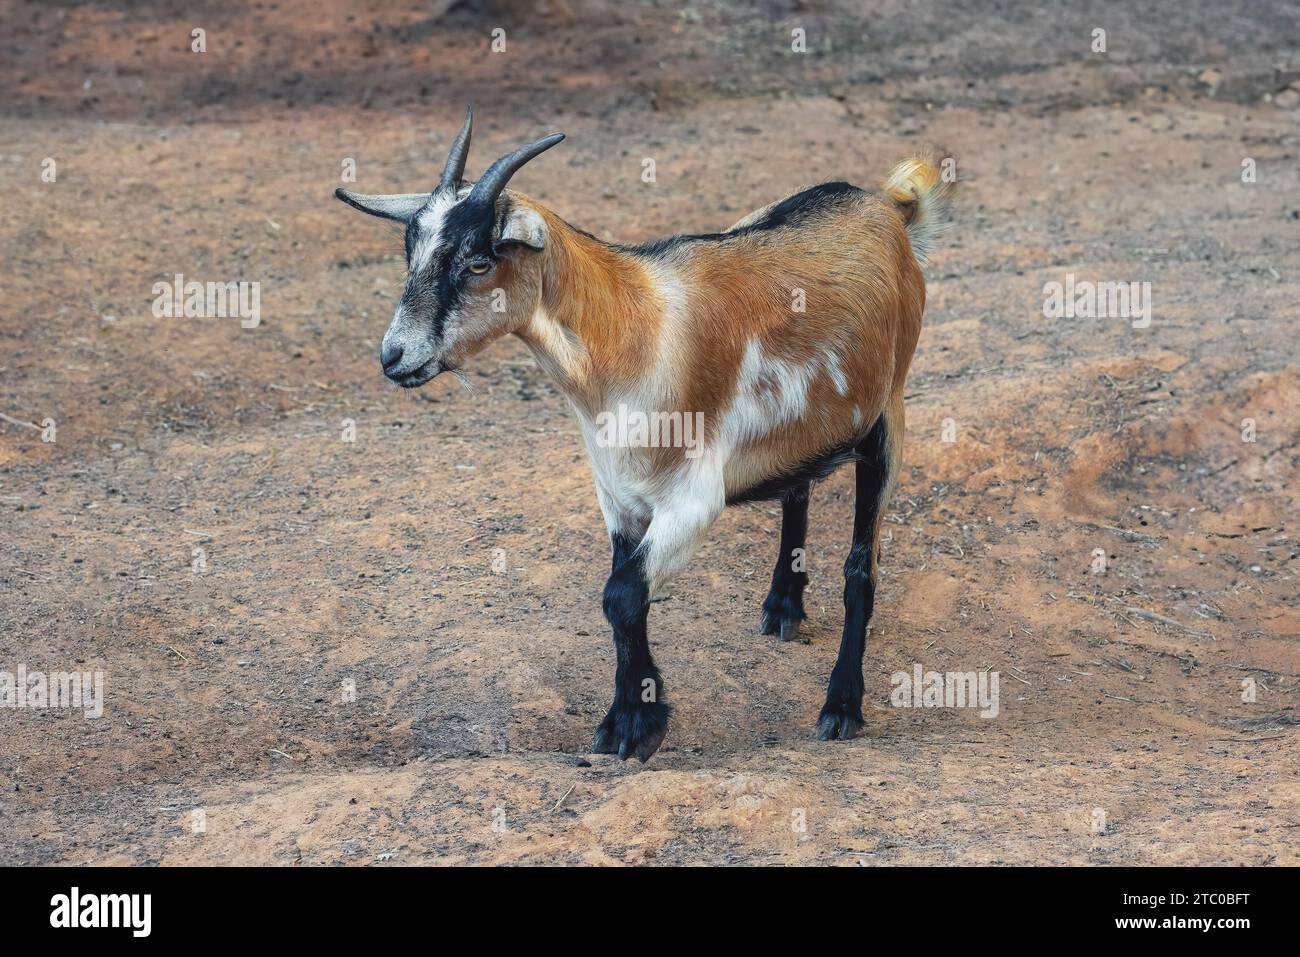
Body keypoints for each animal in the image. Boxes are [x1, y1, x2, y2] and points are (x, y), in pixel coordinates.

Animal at [335, 108, 954, 761]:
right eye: (411, 252)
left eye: (479, 262)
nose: (395, 357)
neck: (633, 333)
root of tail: (887, 207)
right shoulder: (620, 496)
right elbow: (621, 597)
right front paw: (627, 715)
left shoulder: (691, 500)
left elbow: (623, 593)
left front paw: (636, 725)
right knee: (797, 491)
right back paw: (783, 606)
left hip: (888, 415)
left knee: (862, 570)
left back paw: (841, 707)